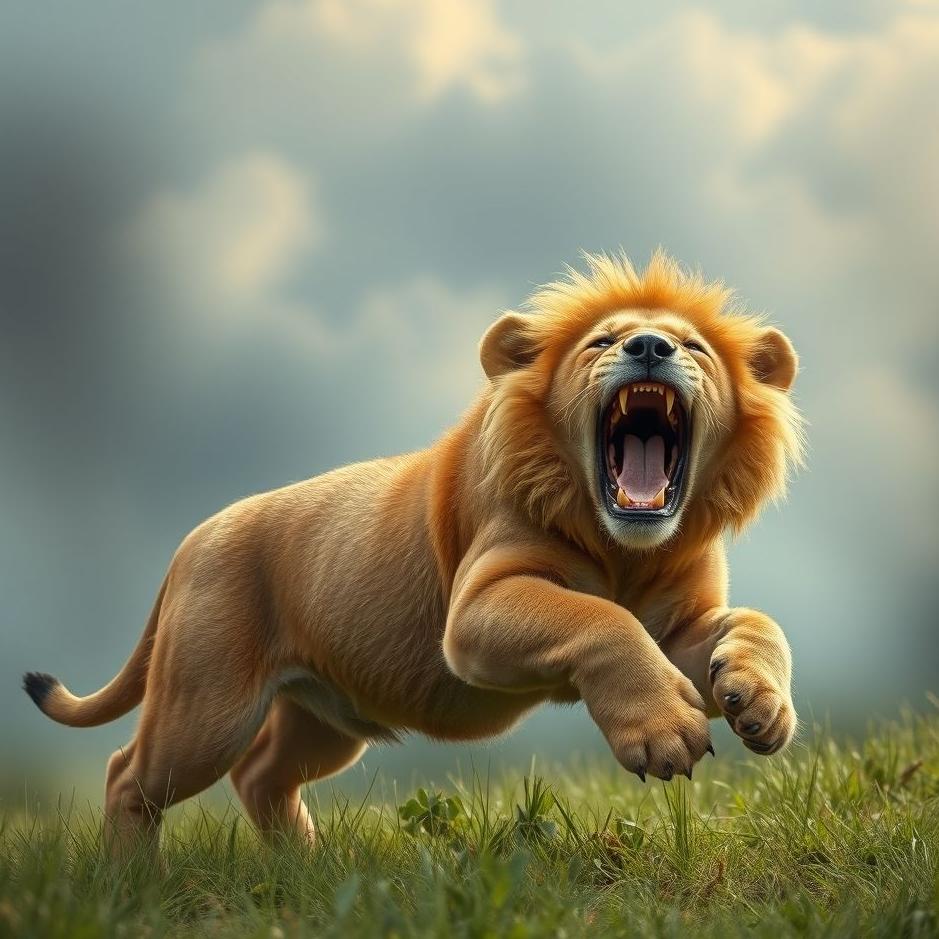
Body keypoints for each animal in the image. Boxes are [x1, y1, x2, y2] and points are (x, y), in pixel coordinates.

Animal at [23, 251, 803, 856]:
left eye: (693, 347)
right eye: (600, 341)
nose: (648, 347)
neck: (627, 550)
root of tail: (191, 539)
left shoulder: (677, 628)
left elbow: (758, 622)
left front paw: (759, 702)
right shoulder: (476, 610)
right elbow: (597, 619)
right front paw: (664, 730)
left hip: (320, 722)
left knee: (261, 776)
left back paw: (306, 867)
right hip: (206, 709)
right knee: (129, 774)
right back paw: (131, 884)